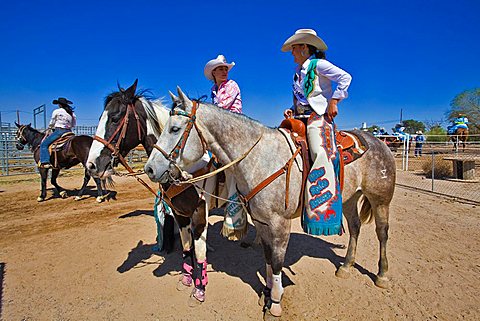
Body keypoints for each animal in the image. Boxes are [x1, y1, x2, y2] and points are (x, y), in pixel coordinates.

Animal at [144, 88, 396, 318]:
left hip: (381, 200)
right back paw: (346, 266)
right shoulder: (260, 221)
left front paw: (274, 303)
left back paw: (382, 275)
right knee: (355, 227)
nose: (150, 169)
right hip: (352, 198)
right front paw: (266, 293)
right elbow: (265, 256)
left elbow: (276, 262)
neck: (260, 158)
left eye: (175, 129)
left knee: (382, 232)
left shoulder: (279, 224)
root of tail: (379, 143)